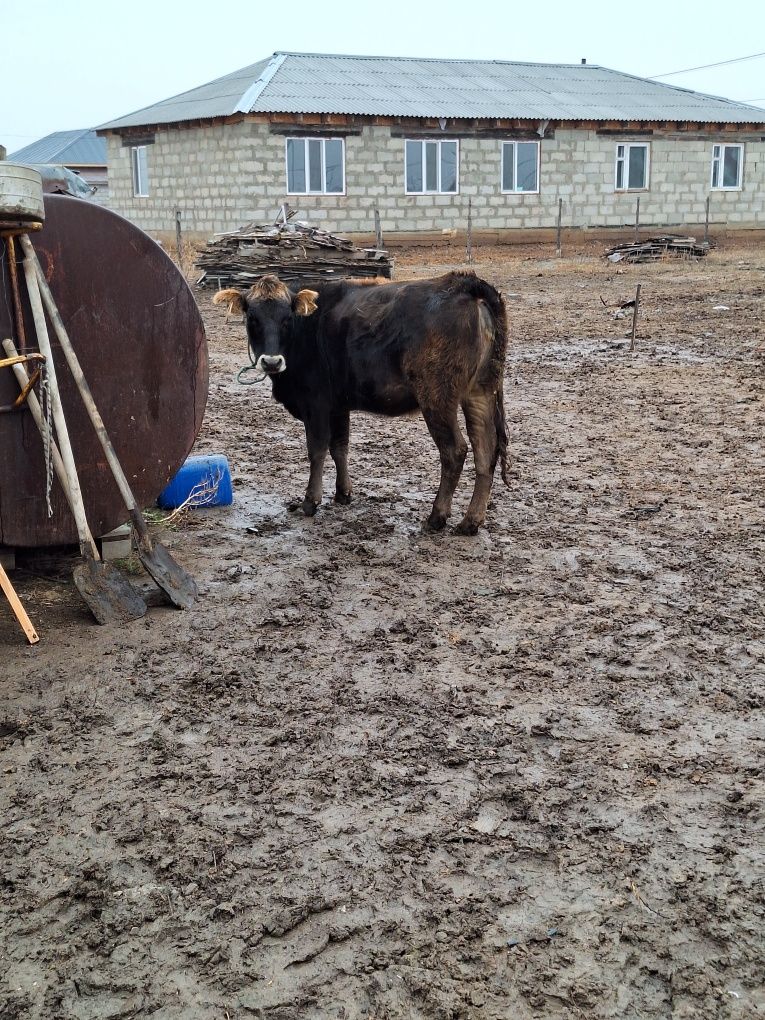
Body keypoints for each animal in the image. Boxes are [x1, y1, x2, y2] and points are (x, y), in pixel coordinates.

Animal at [216, 267, 512, 538]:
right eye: (252, 317)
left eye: (287, 317)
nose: (271, 361)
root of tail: (464, 283)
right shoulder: (338, 406)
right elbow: (340, 447)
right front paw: (343, 493)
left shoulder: (316, 403)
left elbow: (317, 450)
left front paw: (310, 501)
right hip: (480, 391)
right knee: (485, 450)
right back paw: (470, 521)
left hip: (437, 397)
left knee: (454, 451)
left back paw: (436, 517)